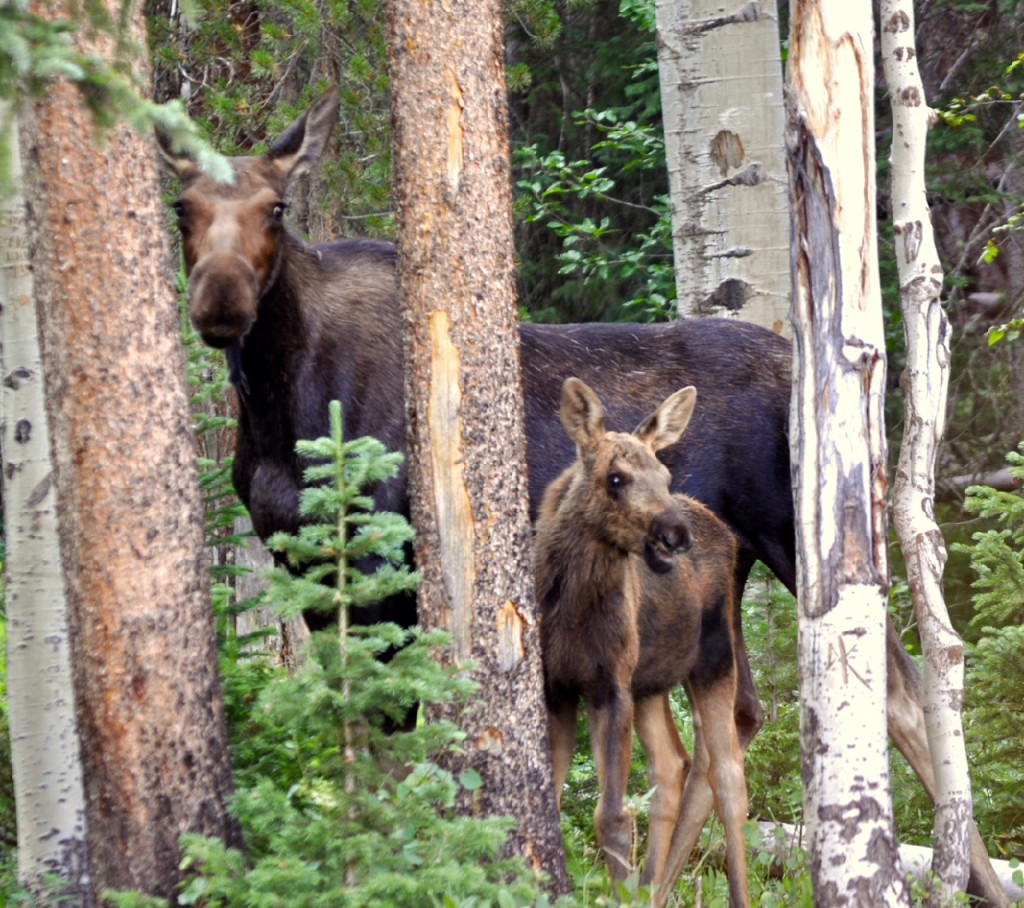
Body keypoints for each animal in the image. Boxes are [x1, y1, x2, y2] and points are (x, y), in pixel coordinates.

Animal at [540, 376, 749, 908]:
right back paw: (651, 889)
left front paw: (619, 888)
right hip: (651, 684)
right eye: (615, 478)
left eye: (665, 475)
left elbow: (613, 816)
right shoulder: (558, 687)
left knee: (728, 775)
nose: (675, 535)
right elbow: (554, 800)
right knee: (673, 766)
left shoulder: (610, 685)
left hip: (715, 658)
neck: (572, 612)